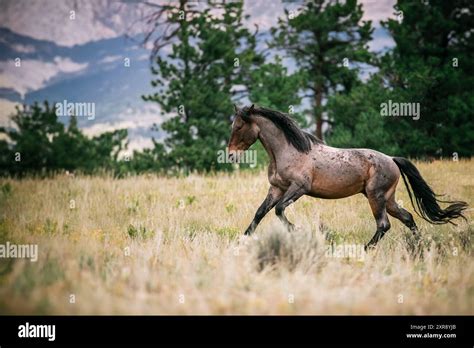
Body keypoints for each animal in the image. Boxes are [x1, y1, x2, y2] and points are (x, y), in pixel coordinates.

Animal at [228, 104, 468, 249]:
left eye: (239, 126)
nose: (230, 155)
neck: (288, 151)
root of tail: (392, 159)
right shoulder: (276, 189)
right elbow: (260, 213)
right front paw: (241, 242)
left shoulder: (299, 188)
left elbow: (278, 210)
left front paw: (299, 231)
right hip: (387, 199)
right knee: (407, 217)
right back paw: (419, 246)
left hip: (376, 197)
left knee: (384, 224)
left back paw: (366, 250)